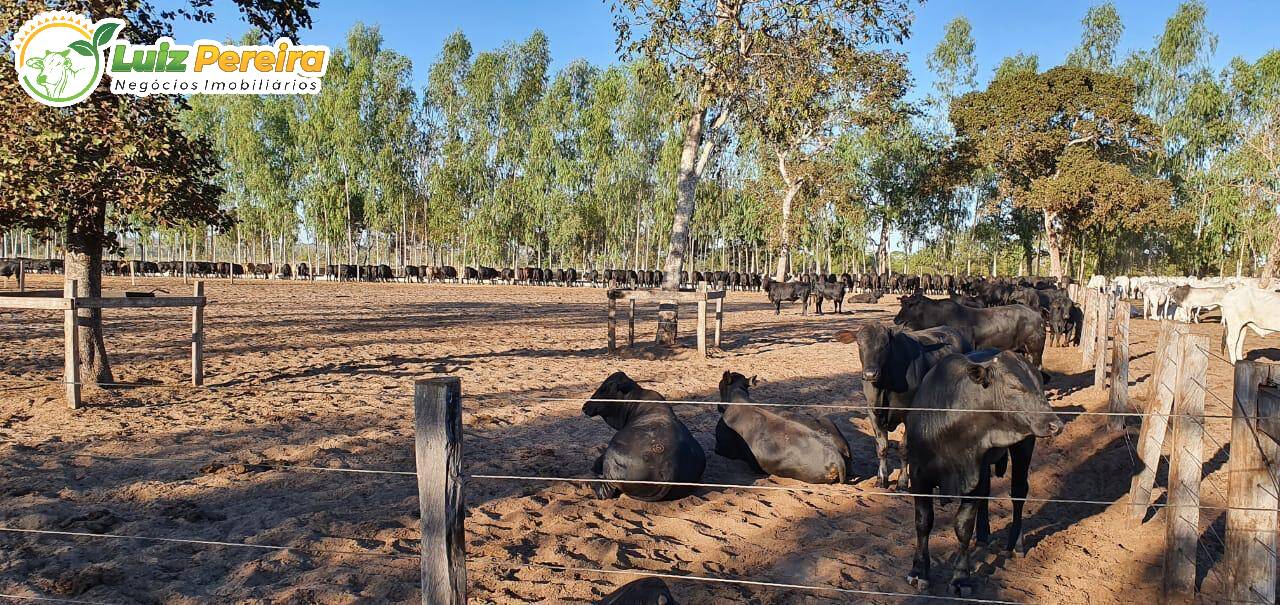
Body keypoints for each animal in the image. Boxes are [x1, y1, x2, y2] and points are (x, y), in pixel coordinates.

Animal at [829, 323, 967, 488]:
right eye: (859, 343)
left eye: (885, 344)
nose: (870, 374)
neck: (886, 386)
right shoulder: (873, 412)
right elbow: (882, 446)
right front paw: (881, 480)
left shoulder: (909, 413)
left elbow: (903, 448)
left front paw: (902, 482)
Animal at [901, 347, 1059, 593]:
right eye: (1013, 386)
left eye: (1041, 386)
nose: (1055, 424)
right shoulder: (918, 475)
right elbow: (923, 522)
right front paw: (918, 571)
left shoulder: (971, 480)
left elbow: (963, 526)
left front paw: (960, 577)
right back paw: (983, 535)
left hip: (1024, 445)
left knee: (1018, 493)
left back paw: (1016, 544)